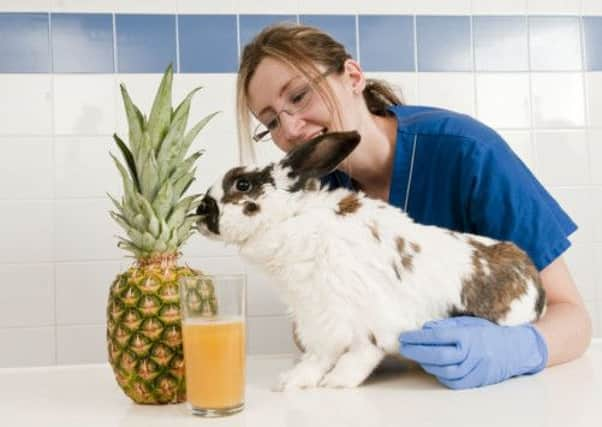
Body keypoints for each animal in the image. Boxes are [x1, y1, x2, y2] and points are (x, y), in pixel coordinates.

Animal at [195, 132, 548, 392]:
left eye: (243, 184)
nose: (201, 211)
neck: (291, 219)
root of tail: (534, 282)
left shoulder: (365, 320)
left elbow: (360, 354)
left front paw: (337, 382)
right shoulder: (317, 319)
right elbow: (317, 357)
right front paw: (291, 382)